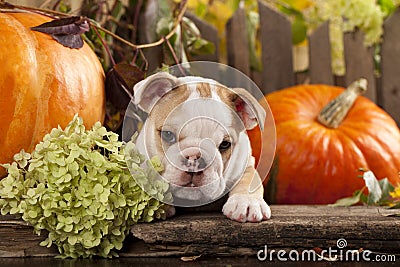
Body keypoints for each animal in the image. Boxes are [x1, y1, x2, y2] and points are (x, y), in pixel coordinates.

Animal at [133, 72, 270, 223]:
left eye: (225, 144)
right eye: (168, 135)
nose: (194, 158)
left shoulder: (245, 163)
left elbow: (250, 179)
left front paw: (246, 201)